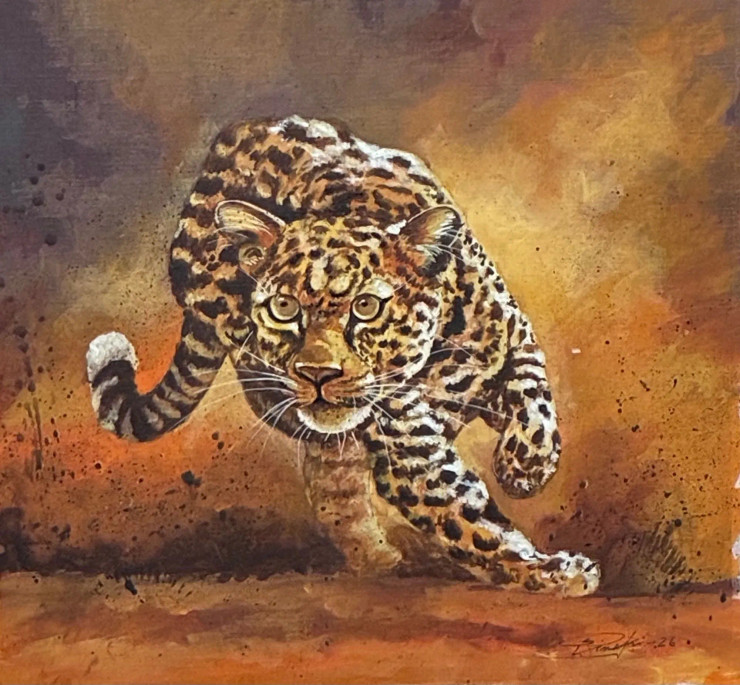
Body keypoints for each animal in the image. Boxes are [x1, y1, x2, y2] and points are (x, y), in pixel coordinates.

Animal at [86, 115, 600, 596]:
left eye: (367, 307)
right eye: (284, 308)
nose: (318, 374)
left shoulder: (513, 331)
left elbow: (532, 386)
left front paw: (524, 467)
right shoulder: (407, 450)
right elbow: (468, 519)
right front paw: (555, 575)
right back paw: (378, 557)